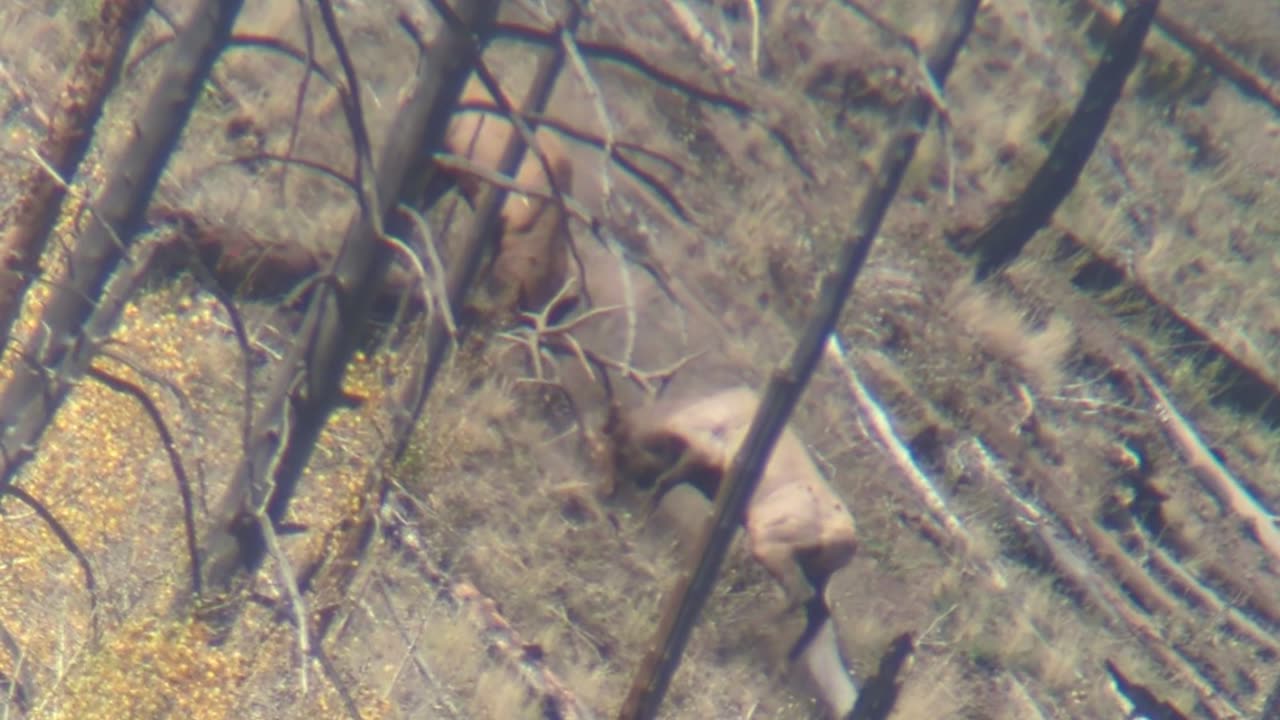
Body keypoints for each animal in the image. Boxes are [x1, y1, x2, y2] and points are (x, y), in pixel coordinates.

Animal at [606, 386, 860, 717]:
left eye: (618, 441)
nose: (609, 489)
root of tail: (849, 540)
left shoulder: (704, 454)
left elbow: (663, 483)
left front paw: (638, 526)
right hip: (819, 572)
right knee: (820, 612)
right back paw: (781, 666)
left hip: (770, 543)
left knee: (799, 594)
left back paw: (744, 632)